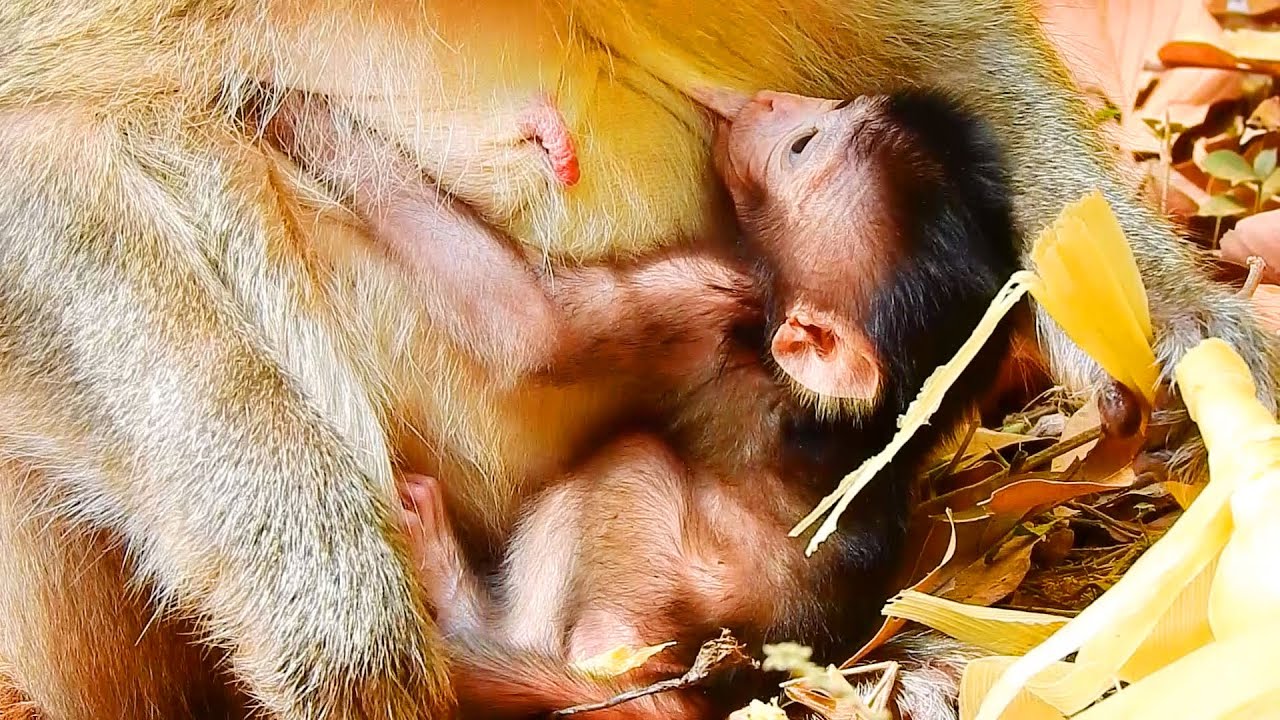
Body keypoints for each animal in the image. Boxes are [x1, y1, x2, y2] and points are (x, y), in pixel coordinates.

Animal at [2, 2, 1276, 718]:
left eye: (806, 144)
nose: (761, 108)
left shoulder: (716, 292)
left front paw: (1173, 325)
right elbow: (40, 147)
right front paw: (316, 580)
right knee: (166, 145)